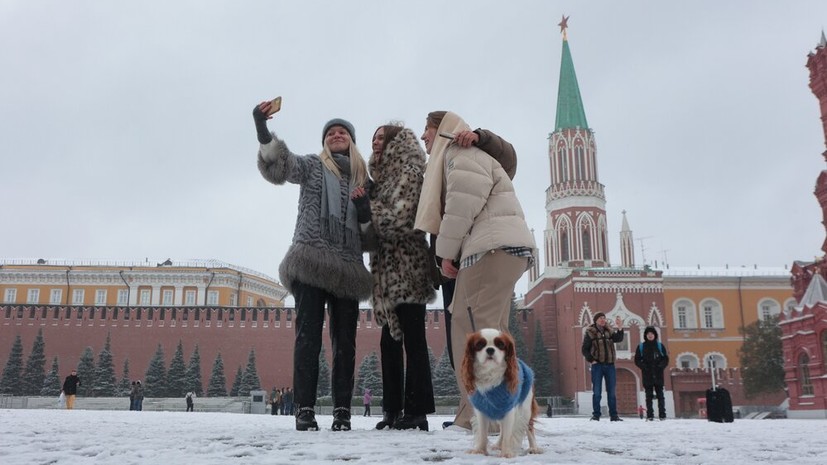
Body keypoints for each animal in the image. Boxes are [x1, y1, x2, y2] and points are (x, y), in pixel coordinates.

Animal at [460, 326, 544, 456]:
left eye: (500, 345)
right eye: (479, 345)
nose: (490, 350)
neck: (490, 373)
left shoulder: (509, 409)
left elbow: (508, 434)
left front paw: (506, 453)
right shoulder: (482, 409)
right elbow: (483, 433)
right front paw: (480, 450)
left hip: (525, 409)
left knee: (529, 427)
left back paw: (533, 448)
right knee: (502, 429)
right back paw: (498, 445)